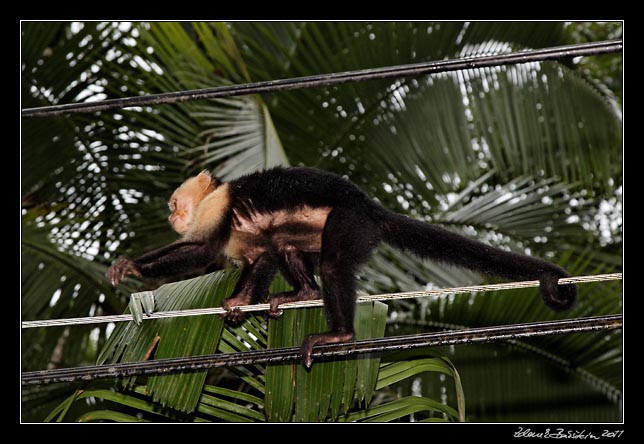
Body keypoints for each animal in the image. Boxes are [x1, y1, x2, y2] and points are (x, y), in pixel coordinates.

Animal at [108, 166, 576, 368]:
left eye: (175, 204)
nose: (172, 216)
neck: (215, 198)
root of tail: (370, 209)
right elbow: (262, 257)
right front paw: (240, 302)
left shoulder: (216, 211)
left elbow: (202, 249)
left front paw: (132, 267)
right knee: (284, 242)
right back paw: (303, 293)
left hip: (351, 224)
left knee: (333, 263)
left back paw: (340, 333)